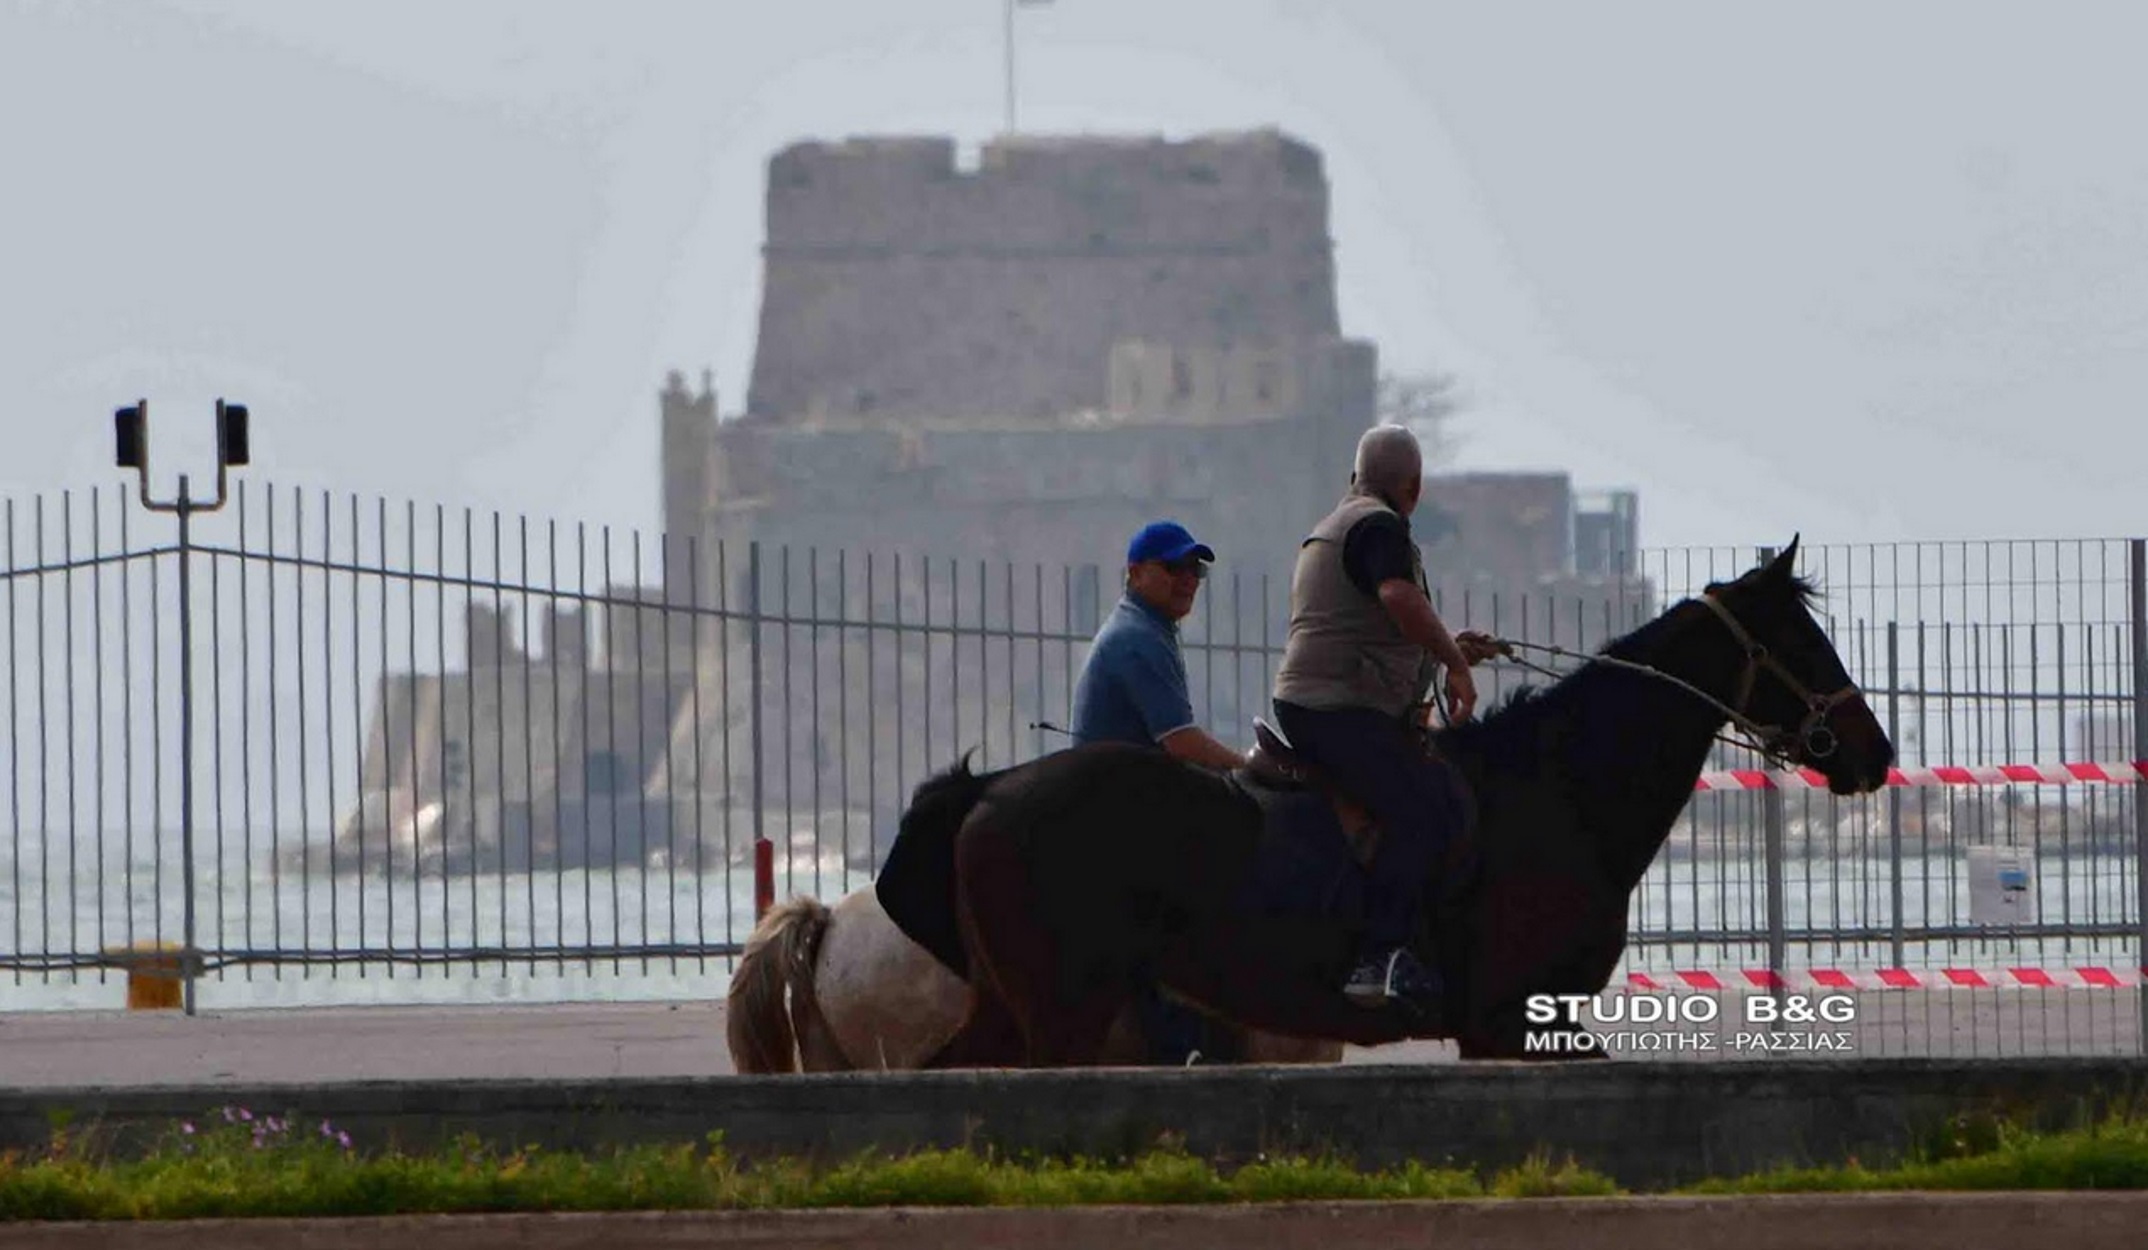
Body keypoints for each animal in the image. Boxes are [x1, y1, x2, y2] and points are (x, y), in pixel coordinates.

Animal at [906, 541, 1898, 1069]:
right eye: (1802, 641)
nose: (1875, 751)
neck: (1556, 788)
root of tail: (989, 789)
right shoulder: (1510, 1020)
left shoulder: (1527, 1023)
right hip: (1063, 1015)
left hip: (1011, 1009)